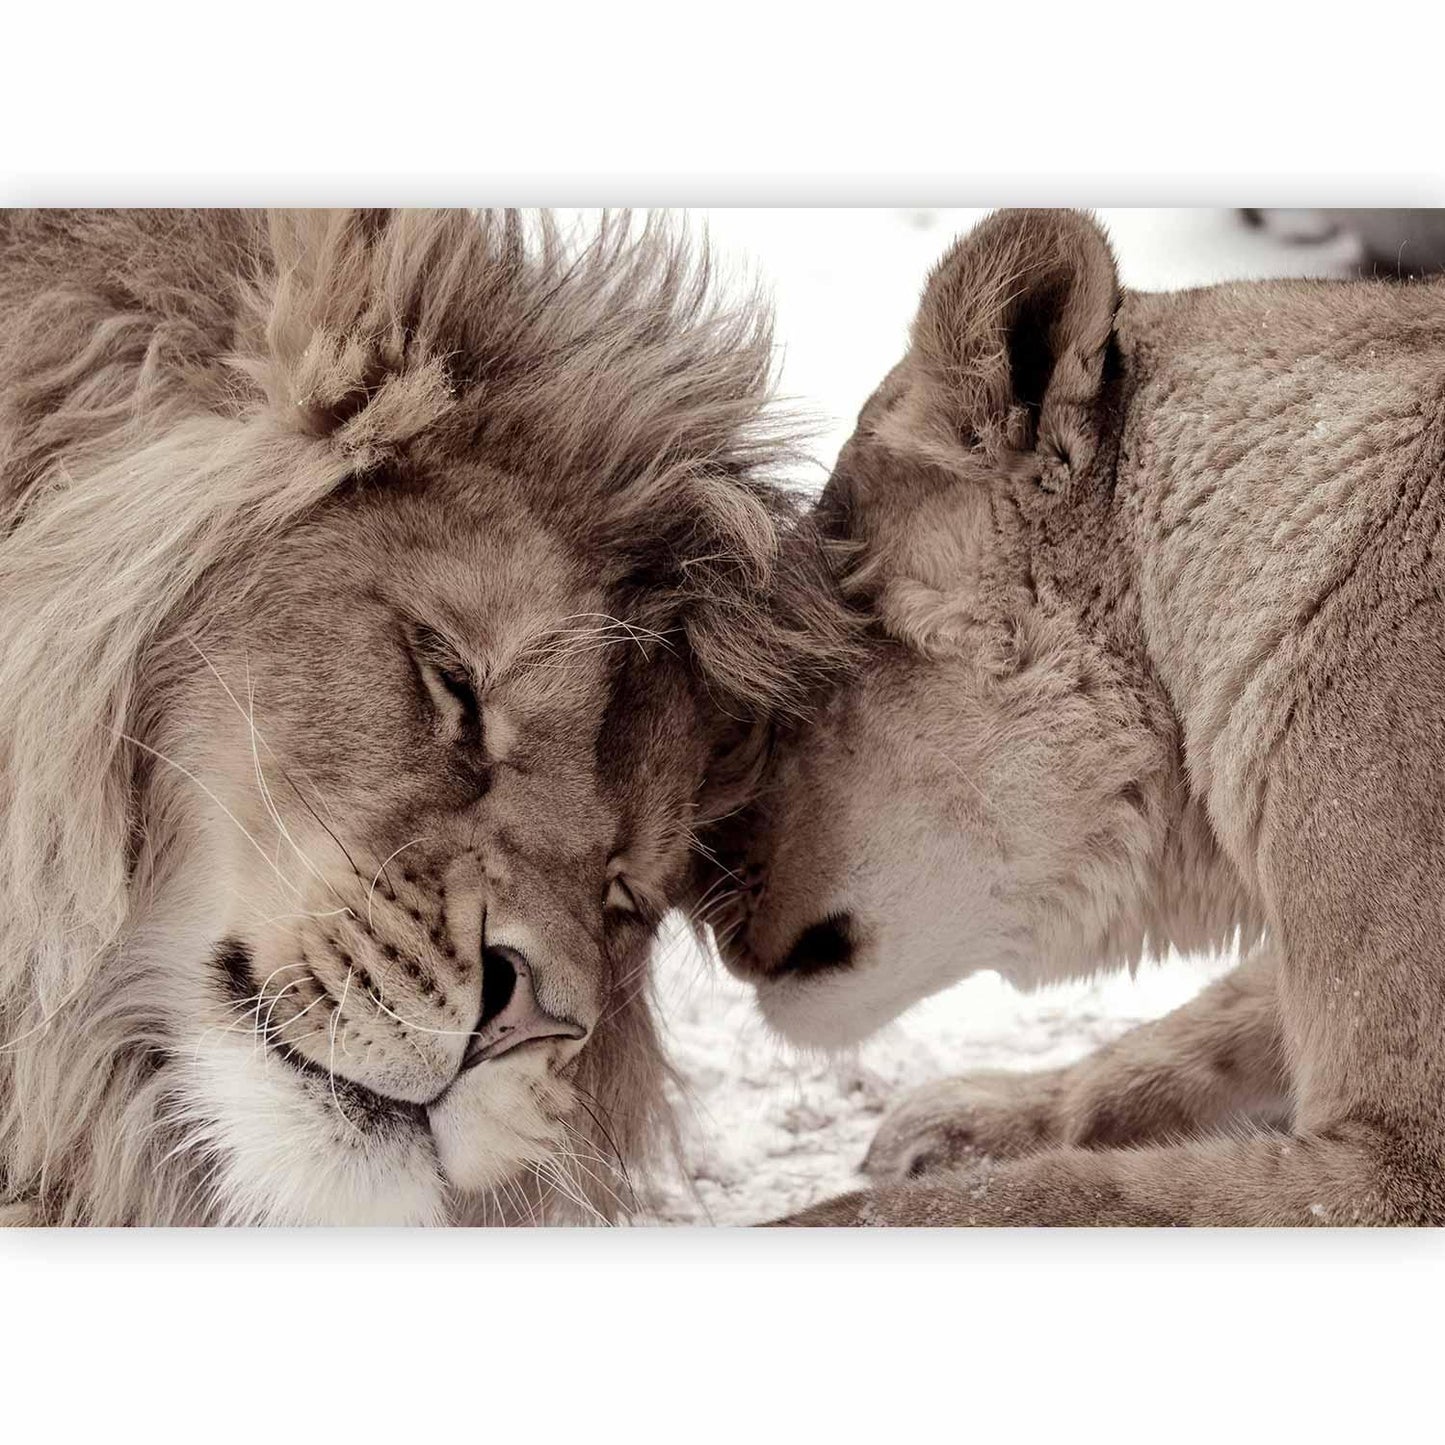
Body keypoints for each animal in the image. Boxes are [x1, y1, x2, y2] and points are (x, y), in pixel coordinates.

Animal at [709, 207, 1445, 1225]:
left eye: (799, 673)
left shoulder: (1401, 1167)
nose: (694, 892)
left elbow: (1046, 1196)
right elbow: (1192, 1032)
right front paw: (965, 1118)